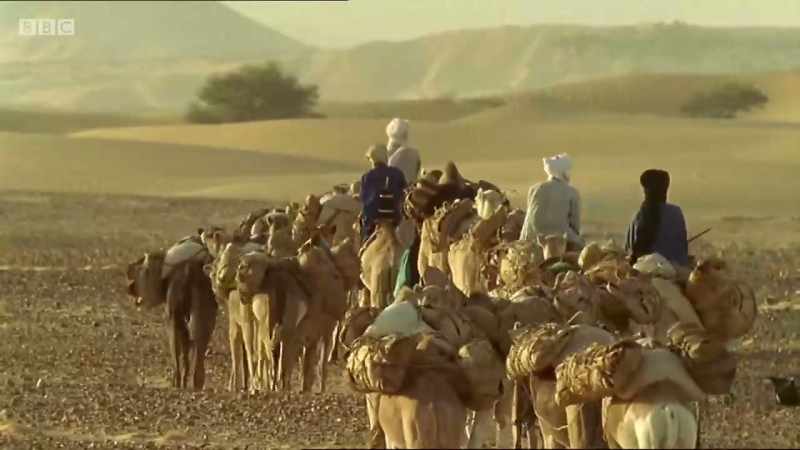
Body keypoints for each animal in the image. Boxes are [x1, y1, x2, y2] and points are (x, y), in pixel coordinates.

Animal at [127, 251, 217, 391]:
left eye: (141, 264)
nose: (128, 268)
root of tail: (188, 274)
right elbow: (187, 353)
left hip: (174, 320)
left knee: (177, 352)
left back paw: (177, 381)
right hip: (203, 317)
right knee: (199, 349)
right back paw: (196, 383)